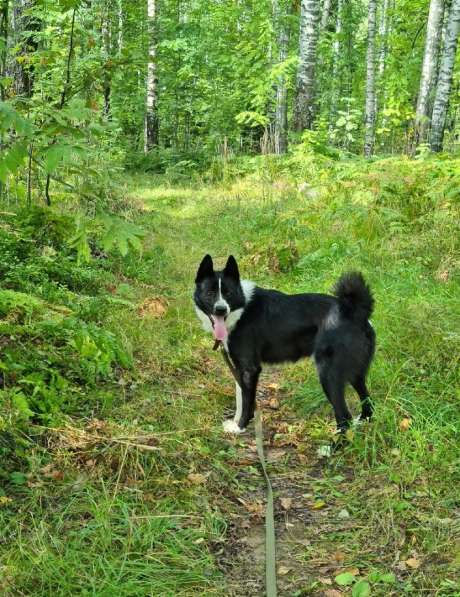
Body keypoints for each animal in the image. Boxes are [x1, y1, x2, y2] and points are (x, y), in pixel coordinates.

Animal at [192, 254, 376, 436]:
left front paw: (241, 426)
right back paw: (362, 422)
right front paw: (236, 423)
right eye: (210, 293)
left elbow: (247, 402)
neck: (241, 309)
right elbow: (240, 397)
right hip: (355, 373)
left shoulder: (250, 369)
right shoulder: (239, 367)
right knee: (368, 404)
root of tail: (355, 312)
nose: (221, 309)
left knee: (344, 416)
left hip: (329, 374)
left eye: (228, 293)